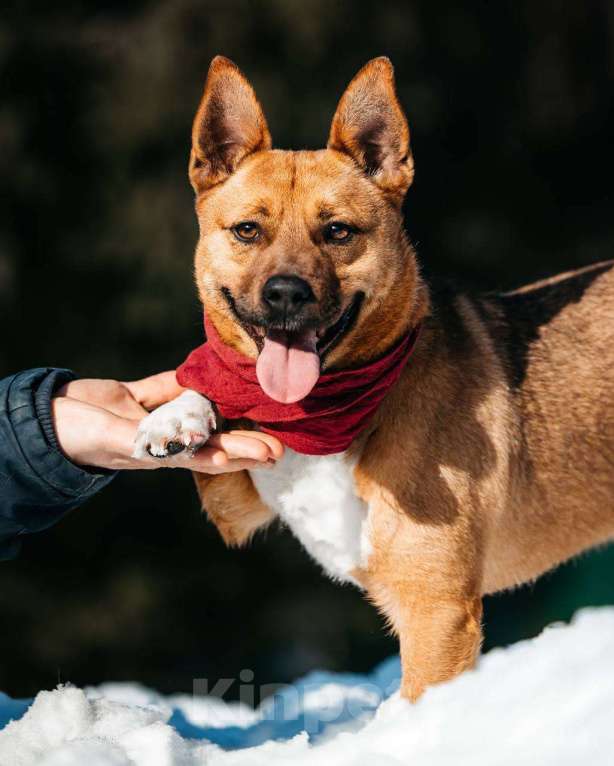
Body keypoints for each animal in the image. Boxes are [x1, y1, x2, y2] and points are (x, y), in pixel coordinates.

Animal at [135, 54, 614, 704]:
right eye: (247, 231)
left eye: (338, 232)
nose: (285, 294)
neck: (324, 414)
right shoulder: (238, 499)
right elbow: (221, 388)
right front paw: (179, 413)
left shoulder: (437, 612)